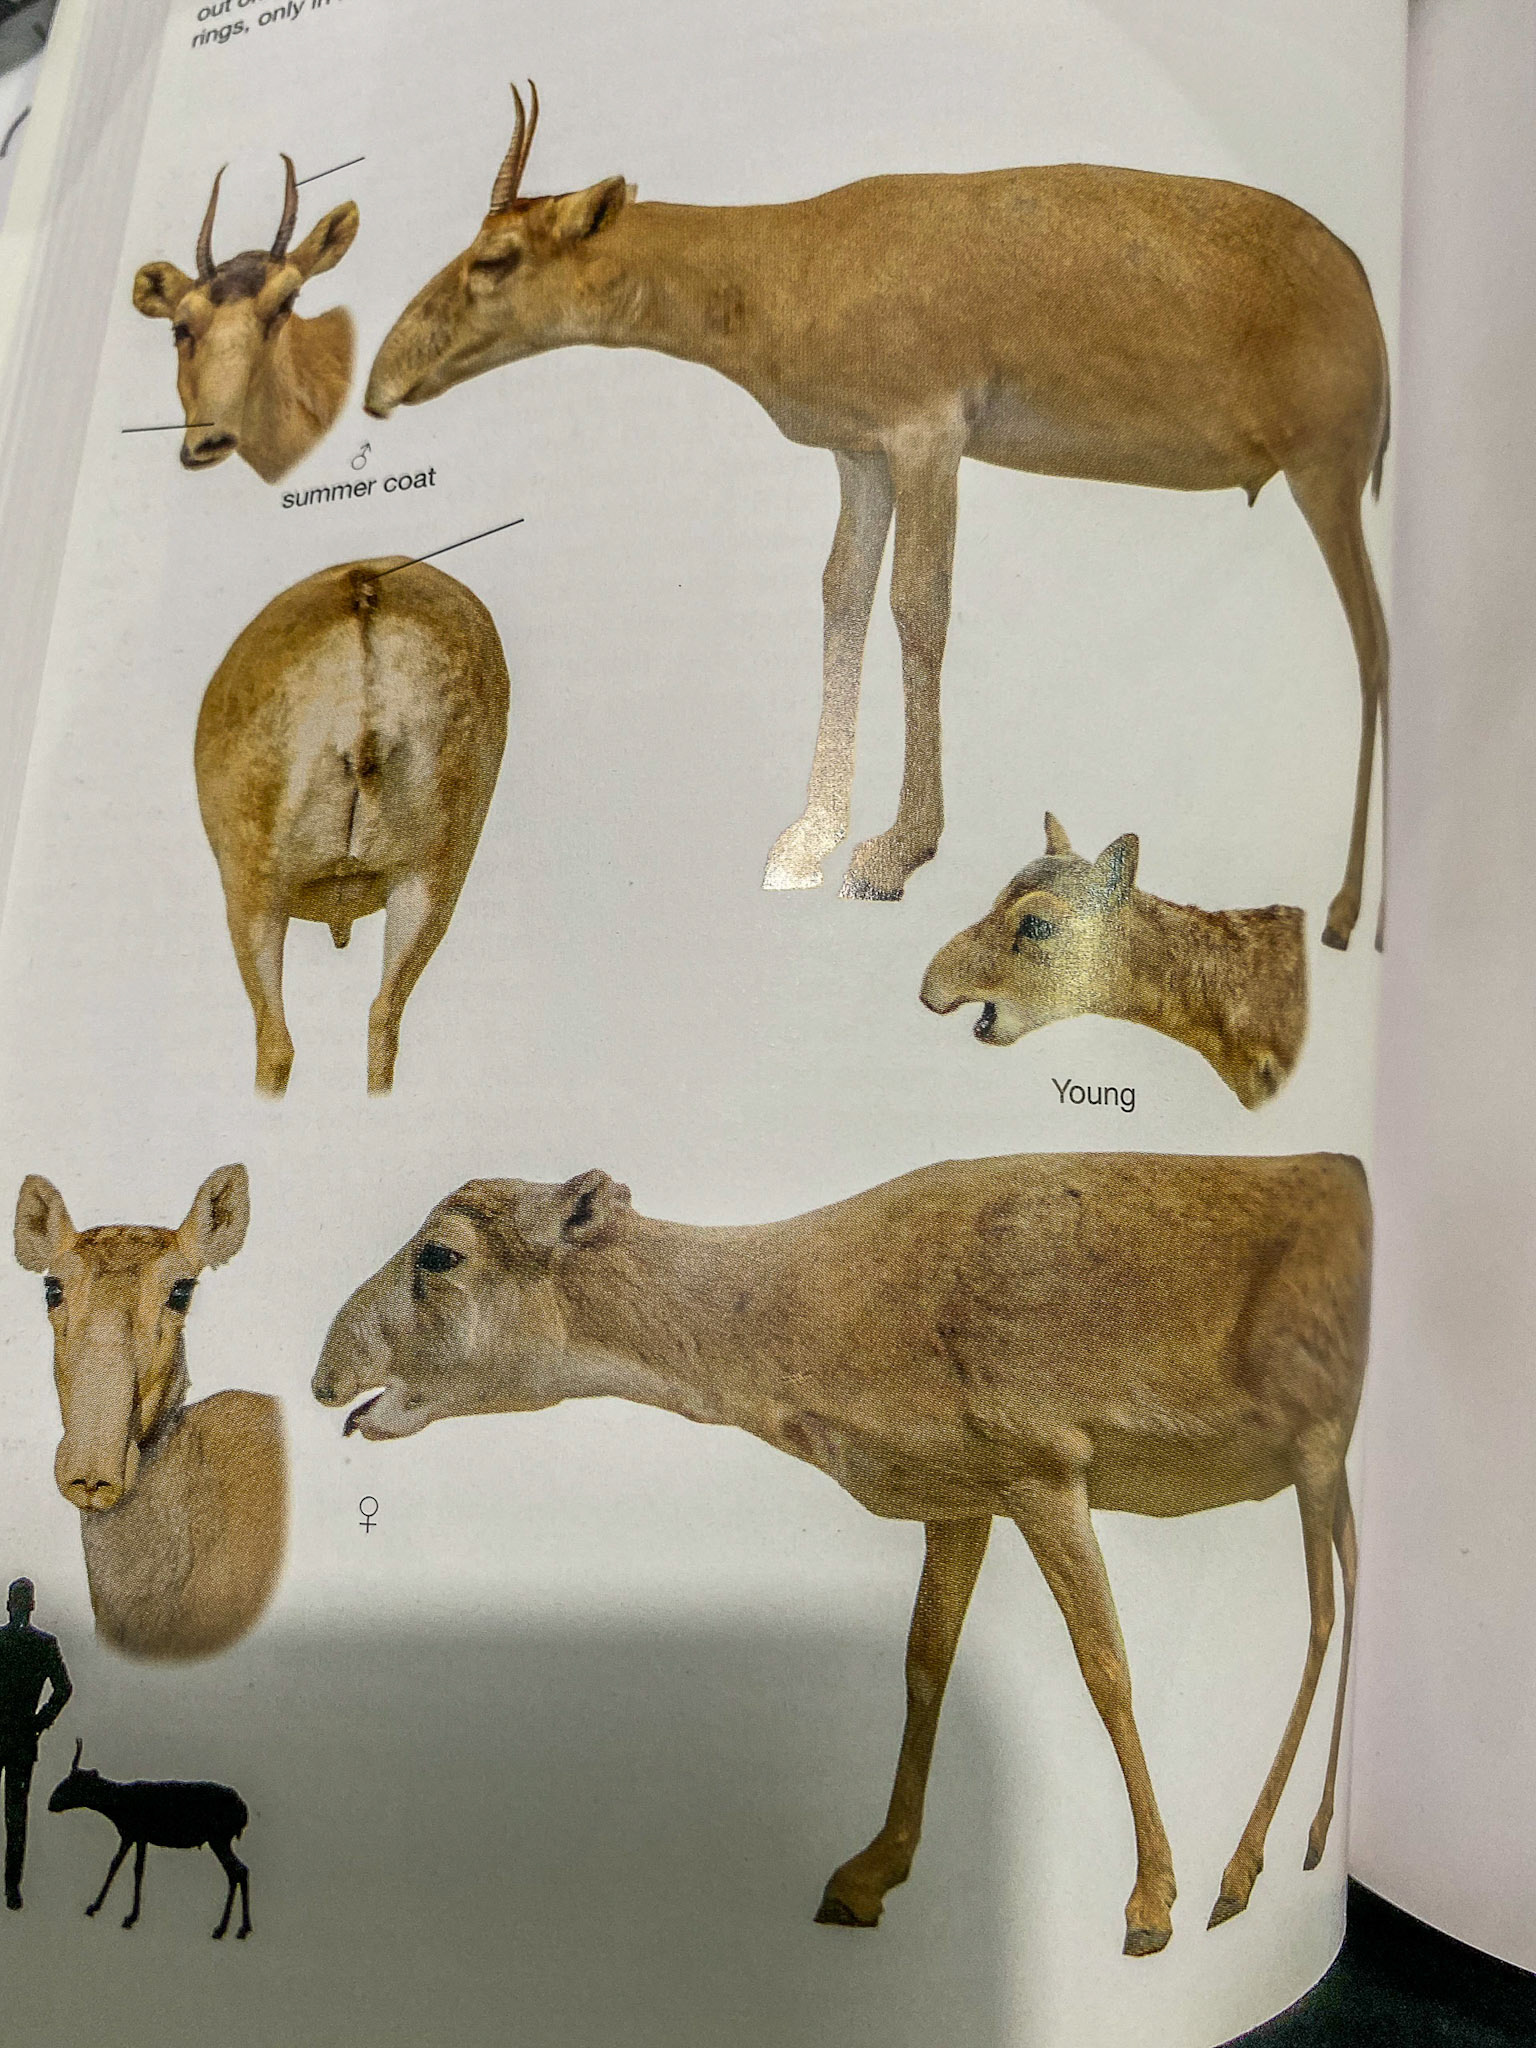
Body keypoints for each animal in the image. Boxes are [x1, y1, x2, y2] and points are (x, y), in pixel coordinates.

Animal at [49, 1739, 253, 1938]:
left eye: (72, 1783)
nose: (51, 1803)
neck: (115, 1806)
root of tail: (243, 1812)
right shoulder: (133, 1835)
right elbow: (122, 1865)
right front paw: (105, 1909)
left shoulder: (136, 1833)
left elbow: (132, 1868)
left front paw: (122, 1914)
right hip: (220, 1839)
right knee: (239, 1870)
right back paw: (241, 1927)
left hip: (218, 1837)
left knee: (237, 1870)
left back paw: (224, 1928)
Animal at [312, 1149, 1370, 1955]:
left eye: (439, 1253)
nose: (326, 1376)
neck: (812, 1305)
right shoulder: (965, 1497)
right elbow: (925, 1663)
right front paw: (868, 1875)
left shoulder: (1046, 1471)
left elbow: (1105, 1667)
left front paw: (1152, 1900)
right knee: (1349, 1583)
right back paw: (1297, 1845)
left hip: (1315, 1448)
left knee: (1327, 1608)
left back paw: (1249, 1869)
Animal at [364, 85, 1390, 950]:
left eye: (497, 257)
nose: (379, 385)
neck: (789, 257)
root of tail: (1359, 280)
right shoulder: (861, 456)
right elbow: (844, 595)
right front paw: (807, 841)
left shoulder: (927, 437)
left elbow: (919, 606)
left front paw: (895, 853)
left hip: (1327, 480)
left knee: (1377, 646)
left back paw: (1350, 915)